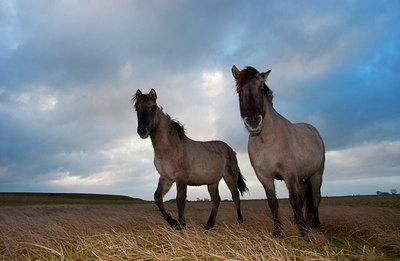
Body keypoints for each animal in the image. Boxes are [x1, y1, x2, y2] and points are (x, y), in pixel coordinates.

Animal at [134, 88, 247, 229]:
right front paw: (173, 222)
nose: (142, 131)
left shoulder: (181, 178)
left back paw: (240, 222)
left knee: (235, 197)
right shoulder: (166, 178)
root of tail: (231, 150)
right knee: (216, 200)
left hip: (230, 177)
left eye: (153, 108)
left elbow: (180, 201)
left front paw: (181, 225)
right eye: (137, 108)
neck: (171, 147)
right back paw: (208, 225)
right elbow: (158, 198)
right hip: (212, 182)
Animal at [231, 65, 324, 238]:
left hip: (317, 174)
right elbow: (273, 202)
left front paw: (304, 234)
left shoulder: (289, 173)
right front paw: (277, 232)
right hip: (302, 178)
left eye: (261, 89)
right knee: (304, 196)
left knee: (315, 197)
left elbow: (293, 200)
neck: (266, 141)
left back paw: (314, 225)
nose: (253, 122)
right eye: (240, 92)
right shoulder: (265, 177)